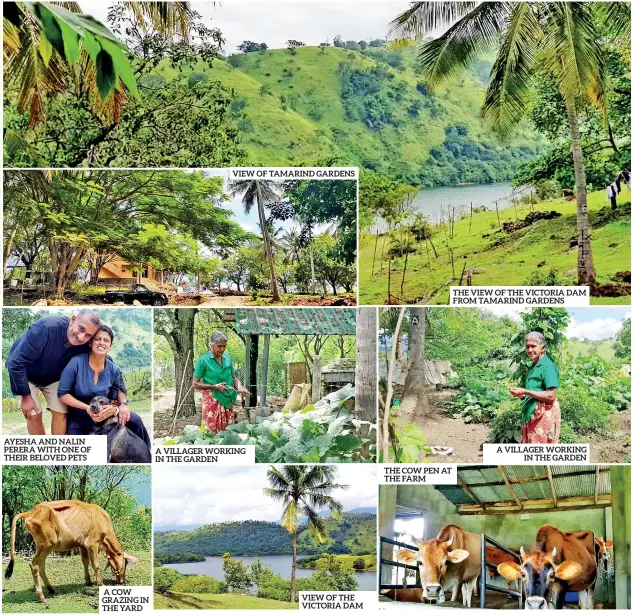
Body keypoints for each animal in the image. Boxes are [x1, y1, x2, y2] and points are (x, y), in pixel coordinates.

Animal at [4, 500, 138, 600]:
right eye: (126, 563)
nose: (123, 580)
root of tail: (32, 511)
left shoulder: (83, 546)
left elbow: (85, 562)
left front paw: (88, 581)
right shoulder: (92, 544)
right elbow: (95, 565)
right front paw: (100, 583)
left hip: (43, 547)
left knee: (41, 566)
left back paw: (51, 589)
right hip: (47, 544)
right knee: (34, 565)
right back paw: (41, 596)